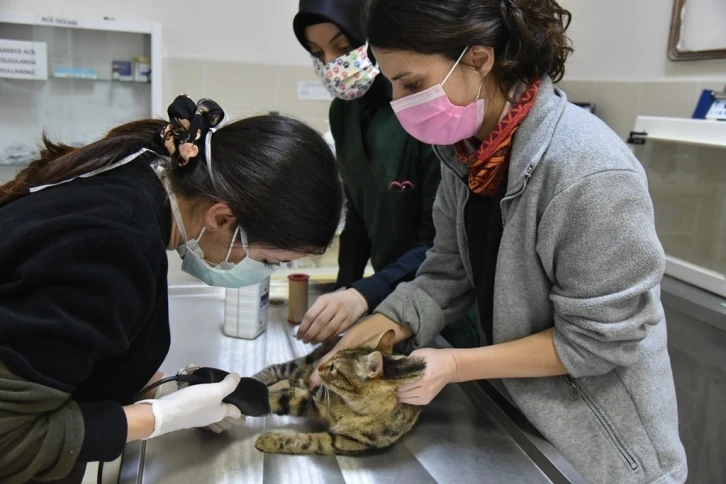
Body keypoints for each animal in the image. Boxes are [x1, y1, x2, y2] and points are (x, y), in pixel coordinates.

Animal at [255, 328, 430, 454]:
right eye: (332, 357)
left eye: (334, 367)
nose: (320, 366)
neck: (351, 407)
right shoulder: (313, 401)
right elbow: (275, 399)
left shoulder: (346, 442)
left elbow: (306, 442)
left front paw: (269, 440)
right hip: (302, 365)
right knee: (275, 369)